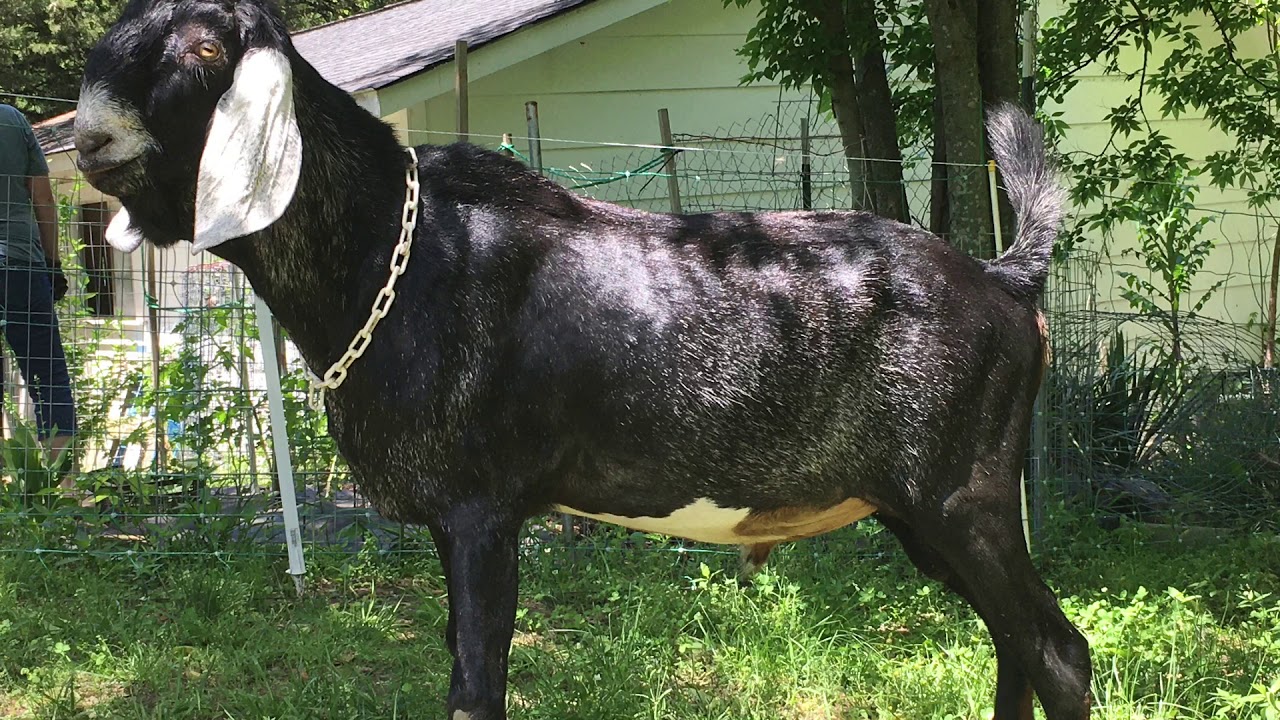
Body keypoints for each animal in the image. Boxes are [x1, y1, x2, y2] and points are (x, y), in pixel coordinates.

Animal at [73, 1, 1092, 718]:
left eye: (206, 52)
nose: (88, 137)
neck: (394, 253)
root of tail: (1003, 277)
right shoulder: (459, 521)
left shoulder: (482, 510)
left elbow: (475, 687)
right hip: (923, 514)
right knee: (1016, 648)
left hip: (964, 495)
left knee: (1057, 656)